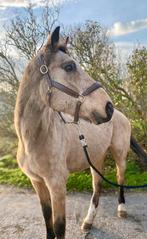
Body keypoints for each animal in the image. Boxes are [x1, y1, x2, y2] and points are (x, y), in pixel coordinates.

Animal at [13, 26, 114, 239]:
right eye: (69, 67)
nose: (108, 107)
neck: (33, 140)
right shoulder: (37, 182)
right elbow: (47, 217)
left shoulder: (57, 185)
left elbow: (59, 226)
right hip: (97, 159)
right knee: (97, 188)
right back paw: (88, 222)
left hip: (120, 155)